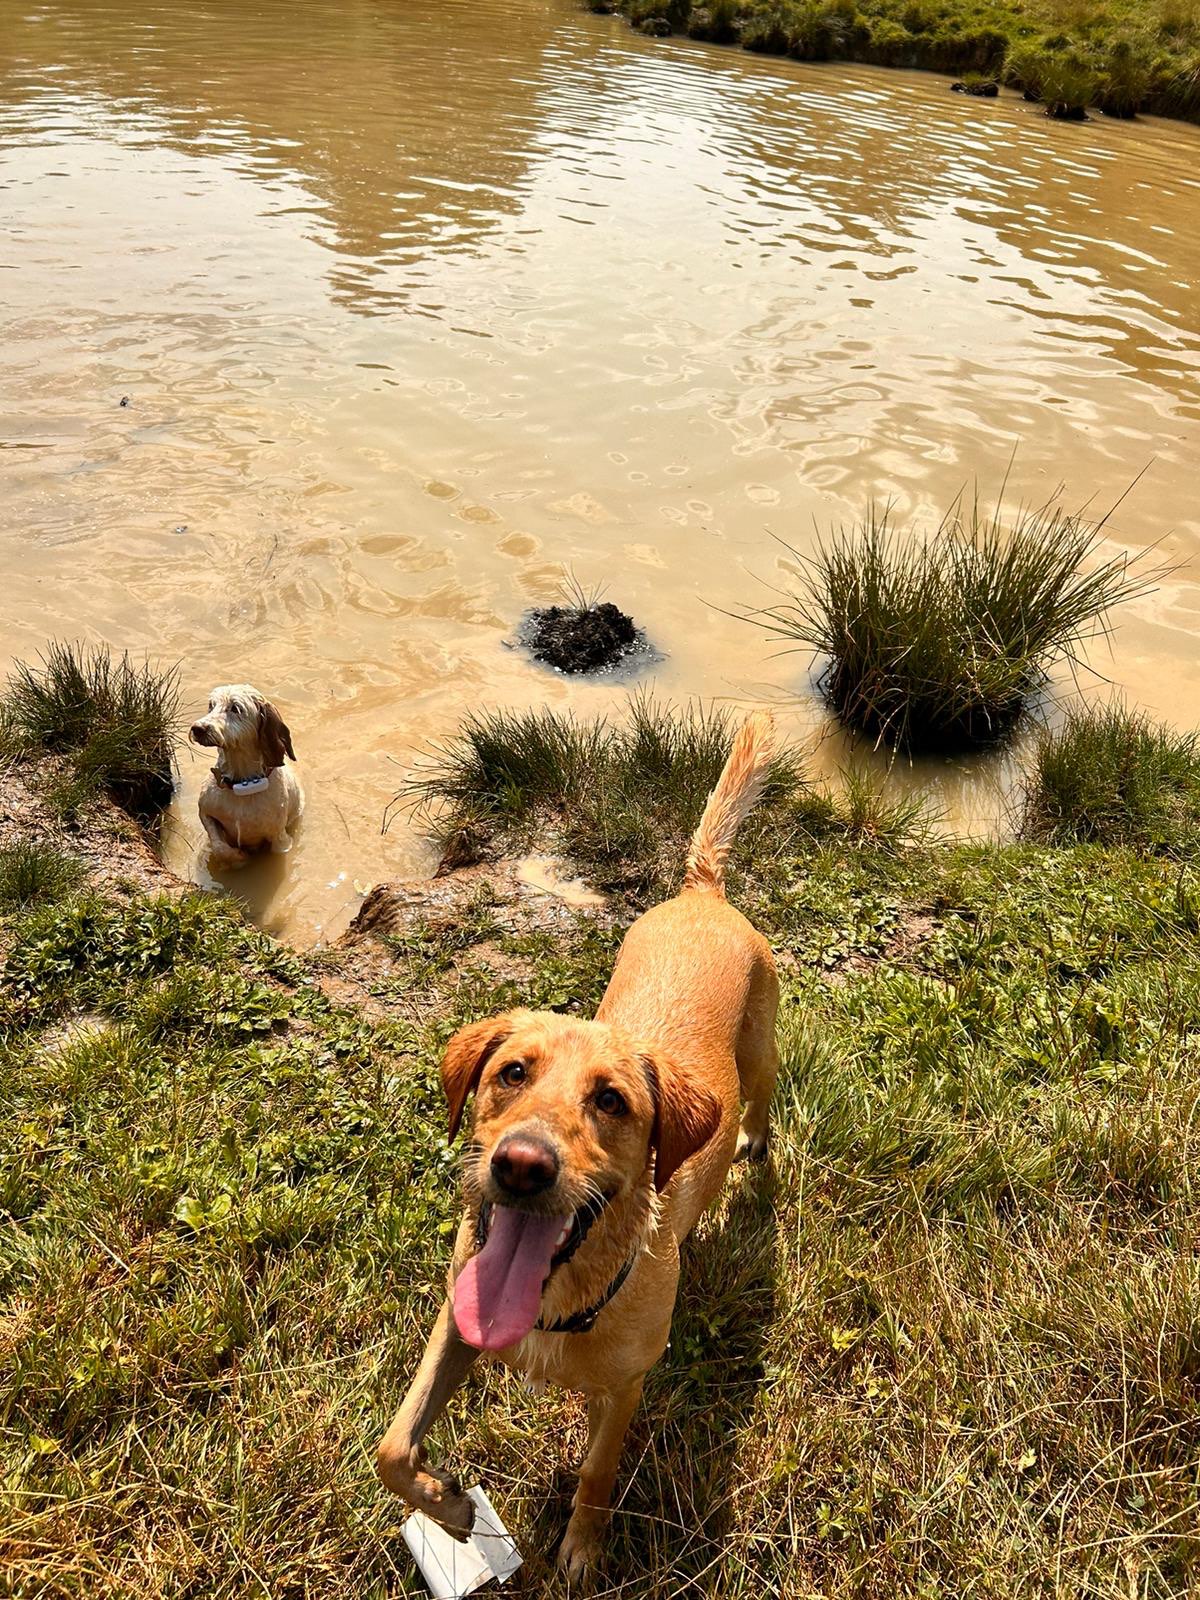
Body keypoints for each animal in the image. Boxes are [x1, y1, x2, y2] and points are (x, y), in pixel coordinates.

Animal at [189, 684, 303, 869]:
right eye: (211, 706)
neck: (243, 782)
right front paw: (238, 858)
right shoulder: (206, 814)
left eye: (236, 708)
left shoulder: (280, 840)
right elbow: (219, 847)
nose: (197, 728)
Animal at [377, 711, 780, 1577]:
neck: (556, 1299)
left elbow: (597, 1472)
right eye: (512, 1073)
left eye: (612, 1101)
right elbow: (392, 1446)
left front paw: (582, 1551)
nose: (522, 1167)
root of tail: (703, 893)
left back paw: (754, 1149)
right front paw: (450, 1509)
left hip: (763, 1044)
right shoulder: (455, 1322)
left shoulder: (623, 1390)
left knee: (765, 1098)